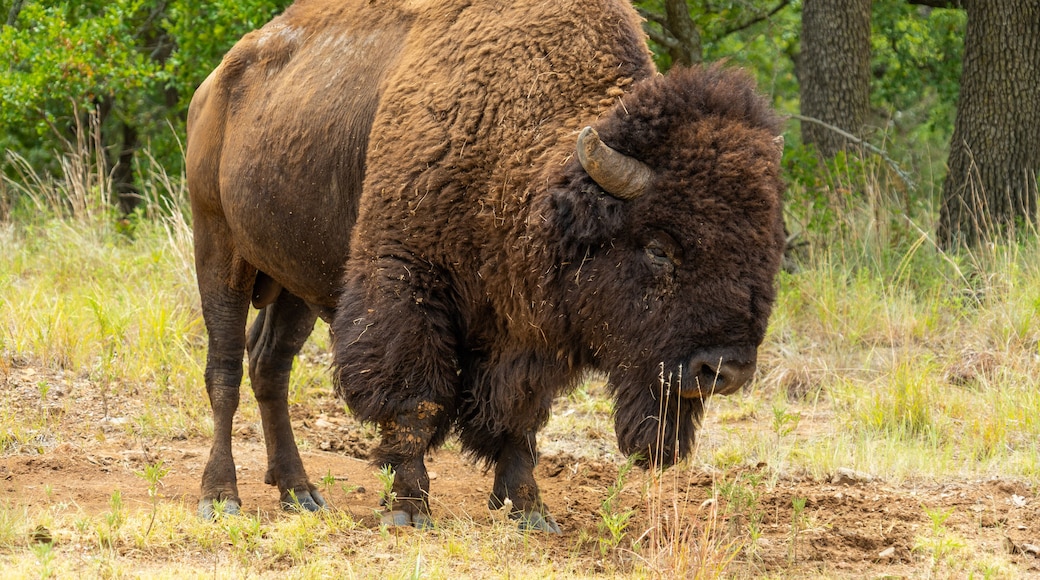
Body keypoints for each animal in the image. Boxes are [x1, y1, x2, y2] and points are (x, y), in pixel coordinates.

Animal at [186, 0, 786, 532]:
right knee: (225, 370)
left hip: (295, 281)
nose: (725, 370)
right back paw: (221, 497)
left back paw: (300, 493)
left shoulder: (526, 329)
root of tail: (215, 84)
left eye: (767, 250)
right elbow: (417, 401)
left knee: (270, 364)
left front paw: (530, 510)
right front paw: (409, 510)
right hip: (218, 247)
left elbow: (519, 417)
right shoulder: (408, 283)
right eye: (659, 248)